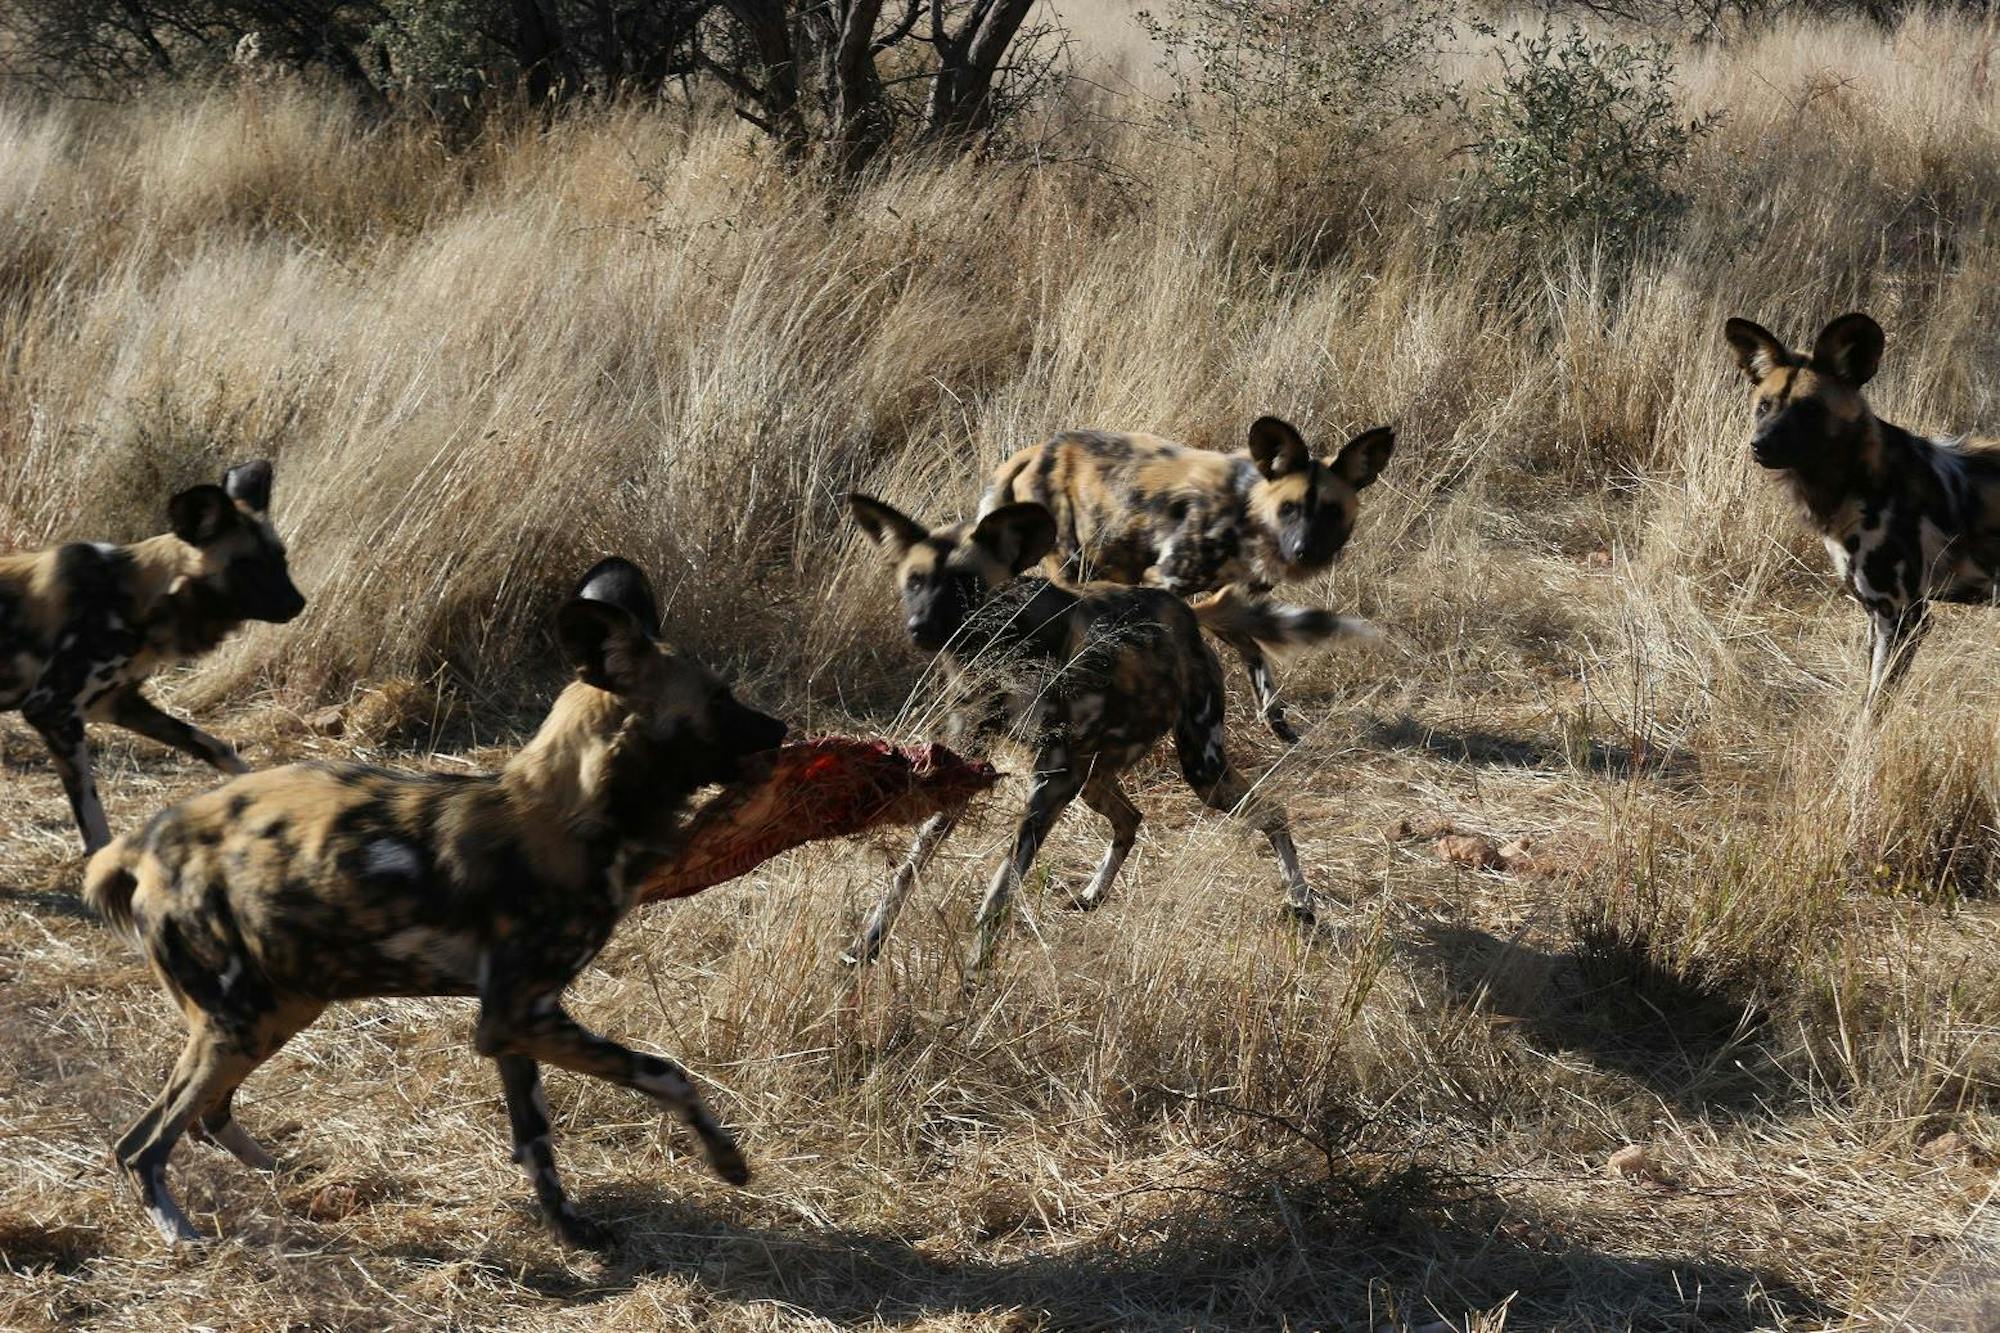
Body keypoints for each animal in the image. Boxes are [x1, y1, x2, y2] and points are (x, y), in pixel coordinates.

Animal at [0, 456, 304, 852]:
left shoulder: (117, 704)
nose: (298, 603)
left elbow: (217, 748)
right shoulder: (53, 711)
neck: (136, 598)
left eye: (281, 559)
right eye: (247, 566)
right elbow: (95, 823)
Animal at [86, 556, 788, 1248]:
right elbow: (668, 1073)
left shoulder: (514, 1023)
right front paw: (727, 1160)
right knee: (145, 1143)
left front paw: (571, 1231)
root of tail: (144, 845)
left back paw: (276, 1178)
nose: (783, 728)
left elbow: (537, 1141)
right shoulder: (519, 1015)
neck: (576, 814)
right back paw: (182, 1236)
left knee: (188, 1121)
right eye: (721, 698)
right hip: (243, 1022)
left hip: (279, 1009)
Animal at [836, 488, 1352, 964]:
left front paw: (976, 969)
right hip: (1094, 778)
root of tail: (1187, 612)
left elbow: (1002, 885)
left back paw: (1301, 902)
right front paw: (867, 946)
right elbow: (908, 868)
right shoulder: (972, 765)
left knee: (1273, 812)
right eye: (915, 581)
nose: (920, 627)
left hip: (1199, 771)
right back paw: (1092, 895)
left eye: (966, 583)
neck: (1004, 649)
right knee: (1131, 819)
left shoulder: (1051, 780)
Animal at [980, 416, 1392, 740]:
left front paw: (1280, 727)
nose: (1305, 551)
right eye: (1288, 509)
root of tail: (1034, 452)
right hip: (1076, 565)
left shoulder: (1233, 603)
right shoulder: (1163, 585)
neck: (1246, 514)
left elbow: (1257, 661)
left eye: (1332, 511)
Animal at [1720, 312, 2000, 704]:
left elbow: (1873, 708)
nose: (1759, 445)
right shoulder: (1876, 617)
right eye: (1764, 406)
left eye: (1809, 410)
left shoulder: (1901, 616)